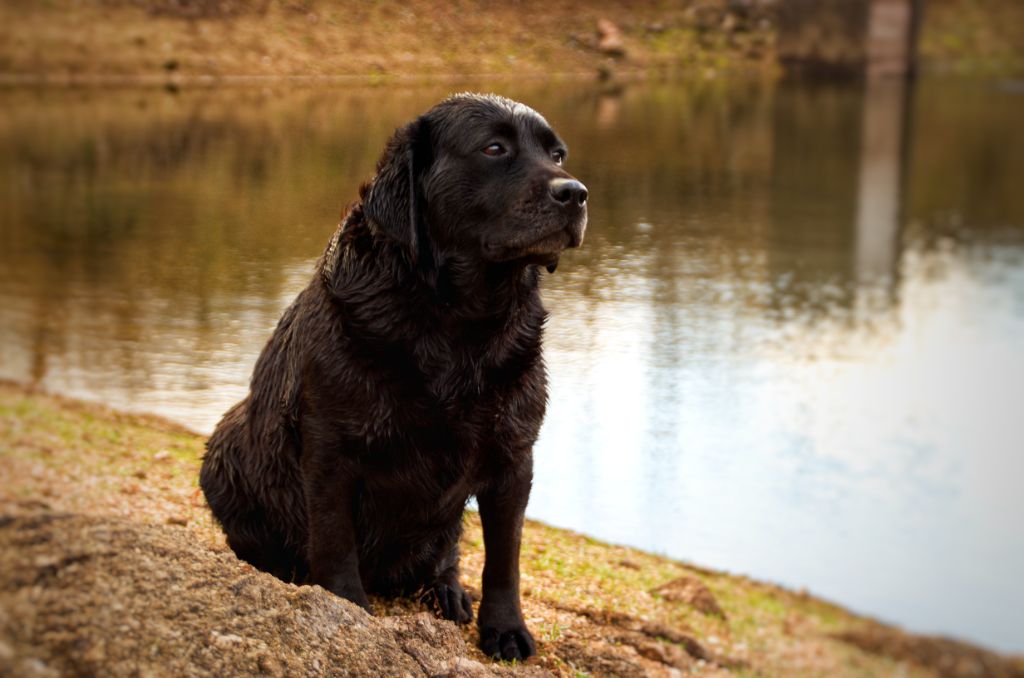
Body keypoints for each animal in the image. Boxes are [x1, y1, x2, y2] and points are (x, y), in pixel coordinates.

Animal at [199, 93, 589, 659]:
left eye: (557, 155)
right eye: (494, 148)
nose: (576, 192)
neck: (456, 326)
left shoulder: (515, 456)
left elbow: (504, 561)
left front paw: (505, 629)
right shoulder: (330, 450)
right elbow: (335, 542)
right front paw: (343, 606)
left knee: (445, 555)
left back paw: (447, 592)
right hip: (225, 445)